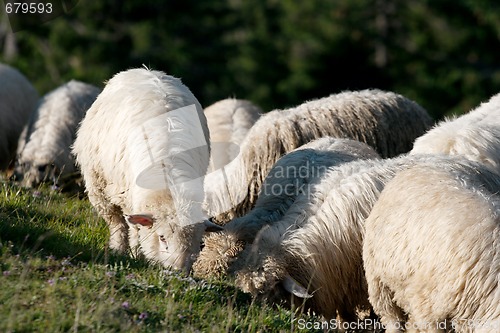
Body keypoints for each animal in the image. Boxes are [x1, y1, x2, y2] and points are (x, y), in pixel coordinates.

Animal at [71, 67, 220, 270]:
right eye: (162, 238)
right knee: (116, 223)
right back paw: (118, 248)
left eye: (198, 242)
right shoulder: (128, 199)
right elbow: (134, 229)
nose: (180, 271)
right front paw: (135, 255)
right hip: (98, 185)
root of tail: (144, 70)